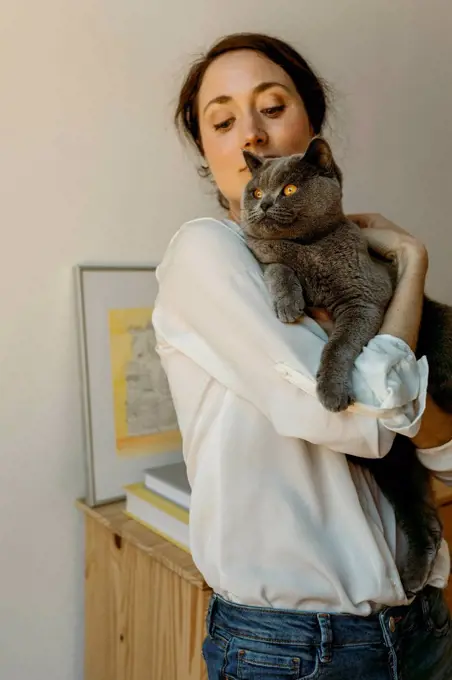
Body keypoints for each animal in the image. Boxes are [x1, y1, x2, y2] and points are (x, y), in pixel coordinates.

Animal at [242, 138, 452, 596]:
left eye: (288, 189)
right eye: (256, 190)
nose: (263, 204)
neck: (307, 249)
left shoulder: (364, 298)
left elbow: (338, 346)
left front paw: (331, 392)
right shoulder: (268, 259)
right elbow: (276, 268)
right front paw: (287, 304)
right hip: (391, 464)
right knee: (426, 520)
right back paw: (412, 577)